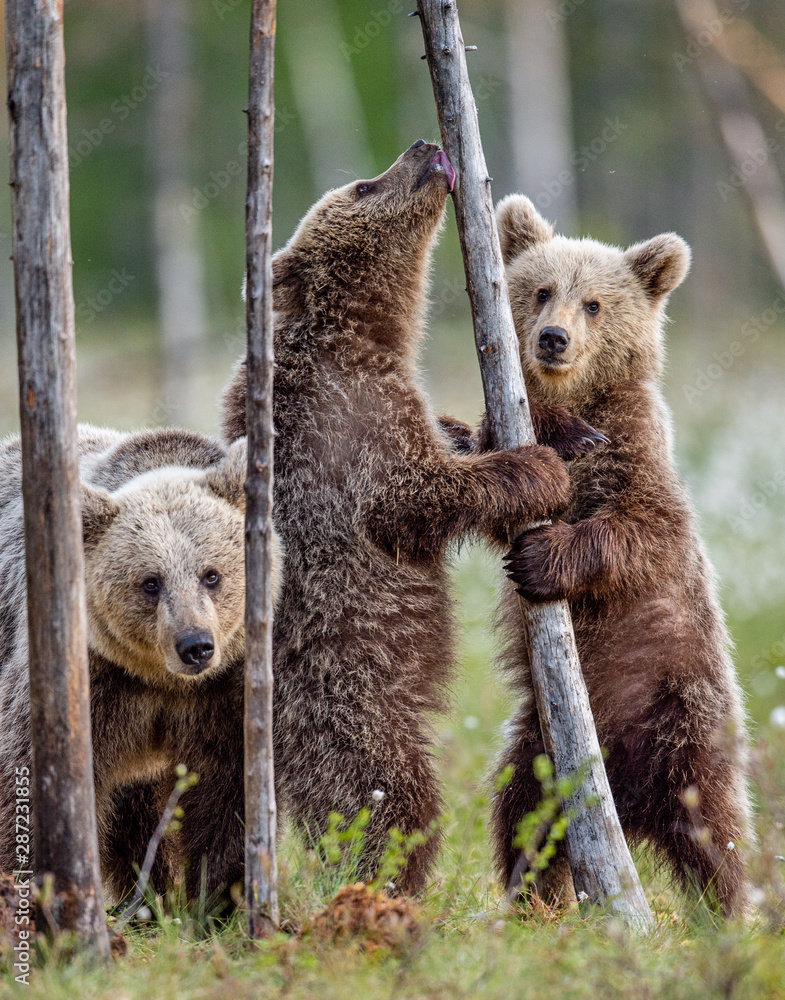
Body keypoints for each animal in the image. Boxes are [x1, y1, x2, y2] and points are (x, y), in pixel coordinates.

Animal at [0, 424, 282, 905]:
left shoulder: (228, 688)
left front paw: (220, 896)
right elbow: (27, 779)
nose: (195, 645)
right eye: (151, 582)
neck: (160, 680)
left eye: (211, 574)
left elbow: (231, 793)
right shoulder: (93, 681)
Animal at [221, 140, 608, 893]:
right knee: (387, 800)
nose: (425, 147)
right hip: (347, 705)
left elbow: (454, 437)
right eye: (364, 185)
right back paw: (384, 890)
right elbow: (413, 497)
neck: (367, 338)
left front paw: (565, 429)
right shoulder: (345, 426)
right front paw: (535, 467)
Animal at [489, 194, 753, 917]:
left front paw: (542, 556)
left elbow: (640, 529)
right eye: (540, 290)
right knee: (521, 816)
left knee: (716, 832)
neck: (583, 398)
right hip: (541, 745)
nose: (553, 338)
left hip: (688, 715)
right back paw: (532, 903)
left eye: (594, 304)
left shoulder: (639, 453)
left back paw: (730, 914)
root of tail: (628, 807)